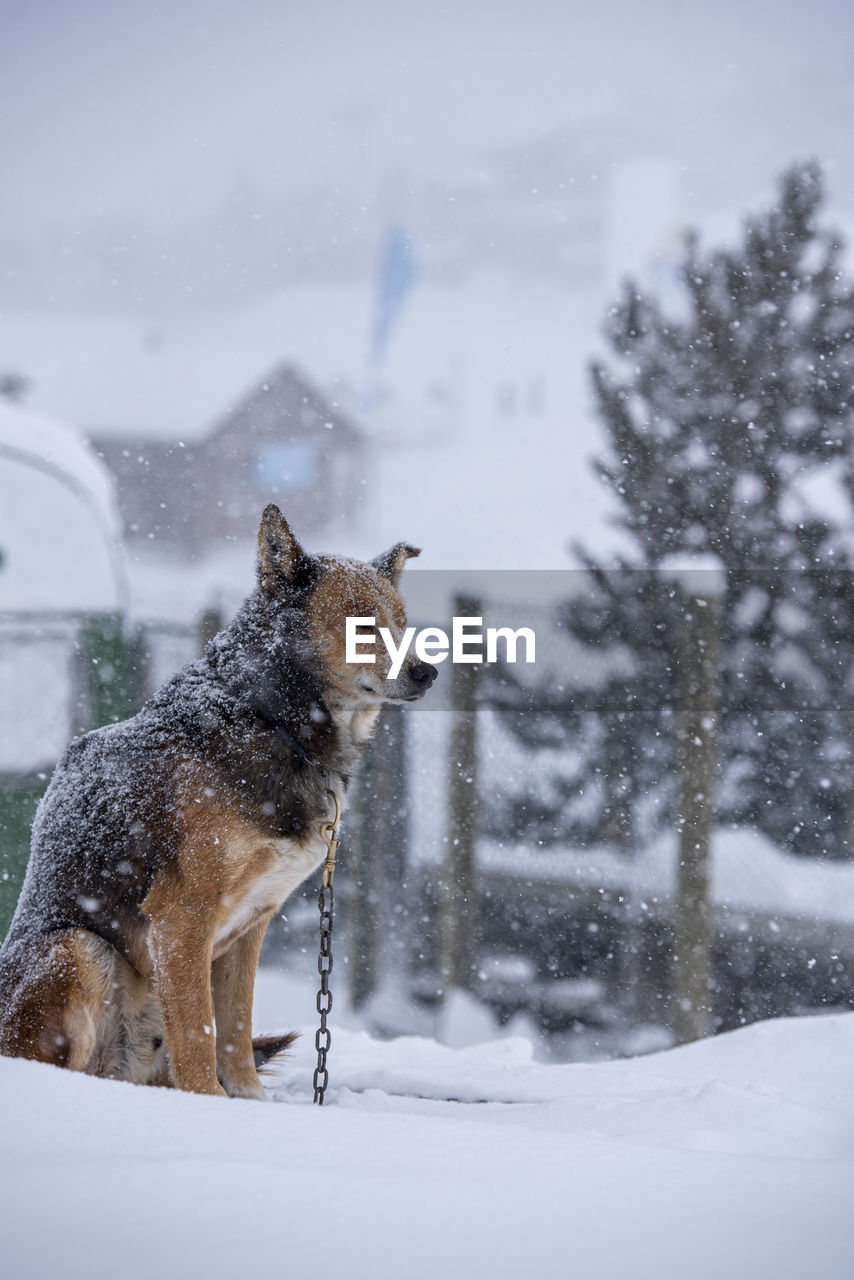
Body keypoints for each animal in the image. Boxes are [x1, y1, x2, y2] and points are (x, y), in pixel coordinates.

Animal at [0, 504, 437, 1095]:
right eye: (361, 624)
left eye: (402, 622)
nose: (427, 671)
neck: (270, 720)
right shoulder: (181, 917)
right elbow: (199, 1039)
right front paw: (208, 1105)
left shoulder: (250, 926)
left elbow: (233, 1034)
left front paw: (247, 1105)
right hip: (78, 946)